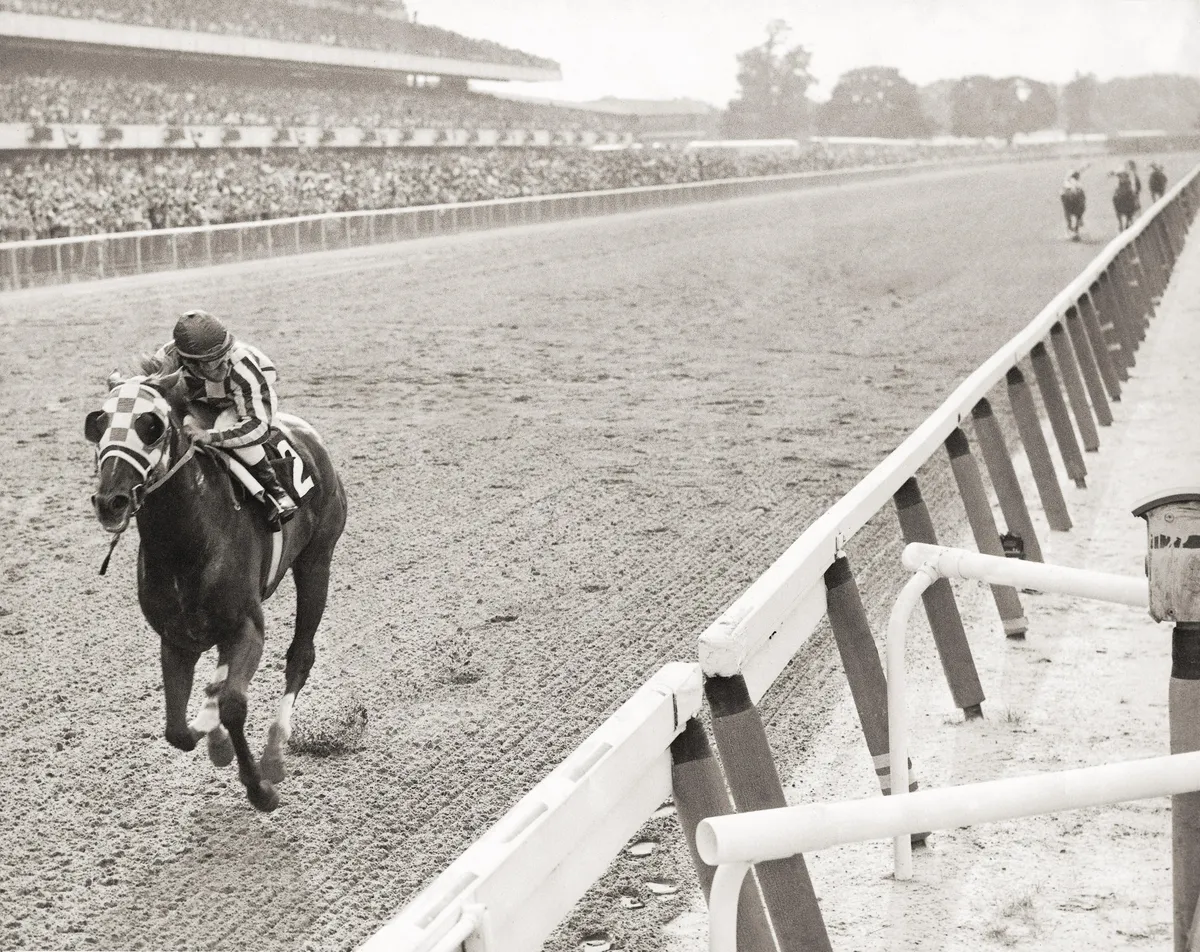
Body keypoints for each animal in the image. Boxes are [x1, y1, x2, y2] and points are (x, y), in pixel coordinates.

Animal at [83, 364, 348, 811]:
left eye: (150, 425)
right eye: (98, 423)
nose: (110, 501)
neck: (187, 544)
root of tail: (306, 432)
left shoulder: (247, 627)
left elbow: (234, 705)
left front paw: (259, 787)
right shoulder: (176, 640)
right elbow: (176, 730)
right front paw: (213, 739)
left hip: (317, 561)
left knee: (300, 656)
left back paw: (274, 754)